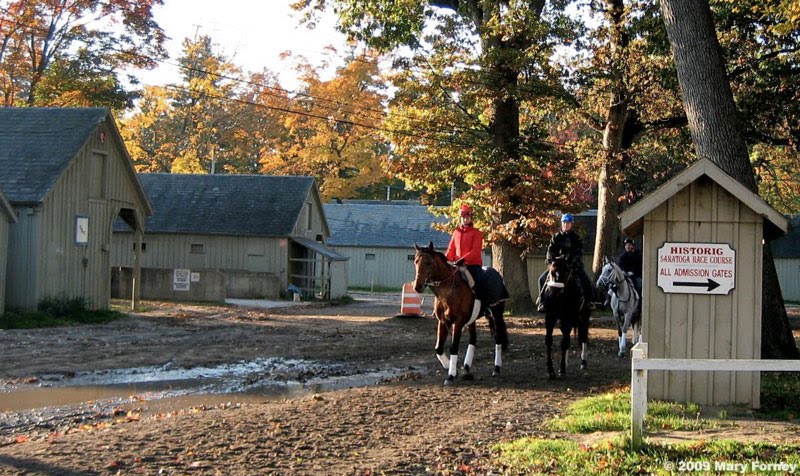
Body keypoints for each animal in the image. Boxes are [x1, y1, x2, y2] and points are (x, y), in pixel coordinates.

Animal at [416, 244, 510, 384]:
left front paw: (451, 375)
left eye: (428, 262)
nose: (417, 286)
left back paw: (496, 368)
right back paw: (466, 367)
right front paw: (453, 369)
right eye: (416, 261)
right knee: (473, 339)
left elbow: (454, 347)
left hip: (496, 315)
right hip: (472, 319)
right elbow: (438, 348)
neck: (448, 290)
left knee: (497, 339)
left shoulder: (458, 322)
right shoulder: (443, 322)